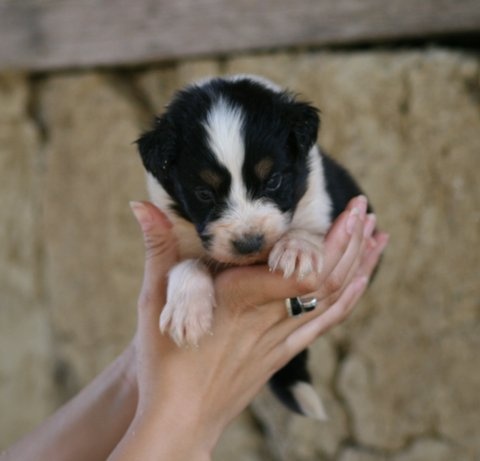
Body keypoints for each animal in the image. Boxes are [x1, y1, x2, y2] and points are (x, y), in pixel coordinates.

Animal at [136, 75, 370, 419]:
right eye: (204, 194)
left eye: (272, 181)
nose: (250, 243)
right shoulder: (176, 234)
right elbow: (187, 263)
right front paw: (186, 311)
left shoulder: (331, 197)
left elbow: (309, 225)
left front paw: (297, 248)